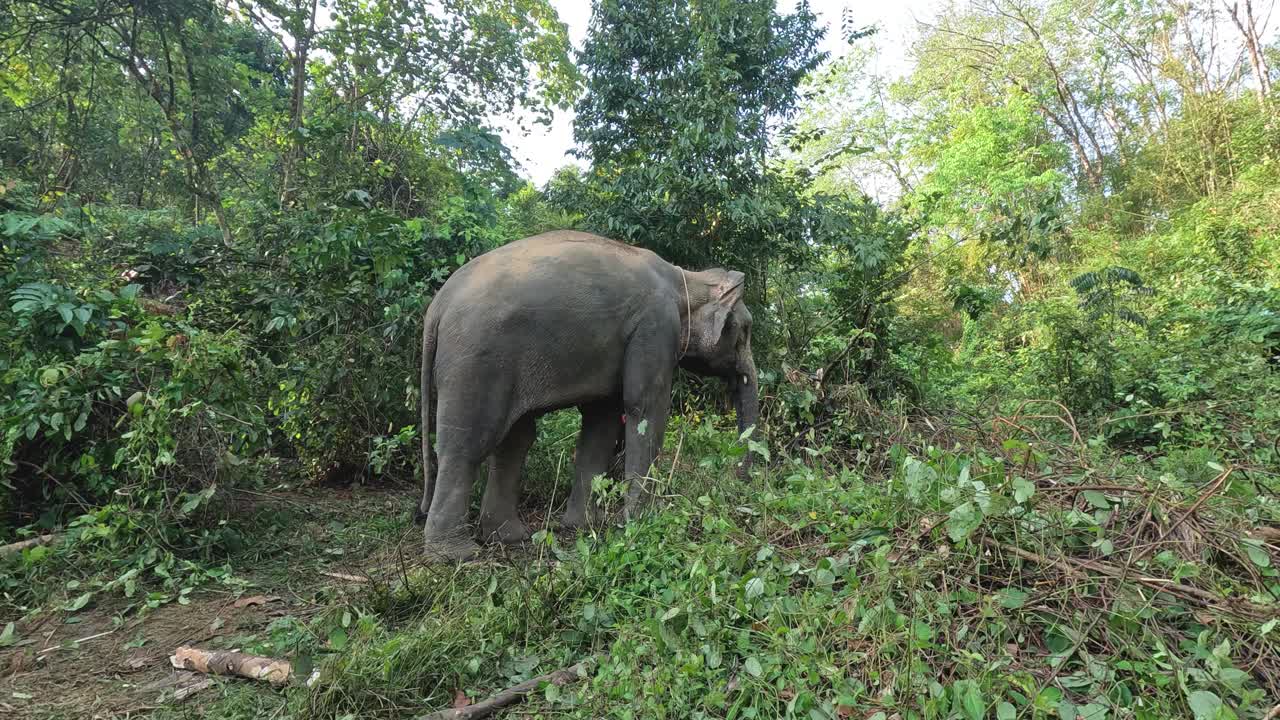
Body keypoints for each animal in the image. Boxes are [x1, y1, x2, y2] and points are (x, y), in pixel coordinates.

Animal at [417, 226, 757, 558]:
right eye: (744, 330)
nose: (739, 478)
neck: (686, 278)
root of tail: (437, 308)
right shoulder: (656, 327)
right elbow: (644, 407)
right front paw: (642, 522)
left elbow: (602, 421)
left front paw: (582, 526)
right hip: (476, 362)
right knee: (469, 444)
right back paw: (456, 555)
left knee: (515, 440)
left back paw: (509, 538)